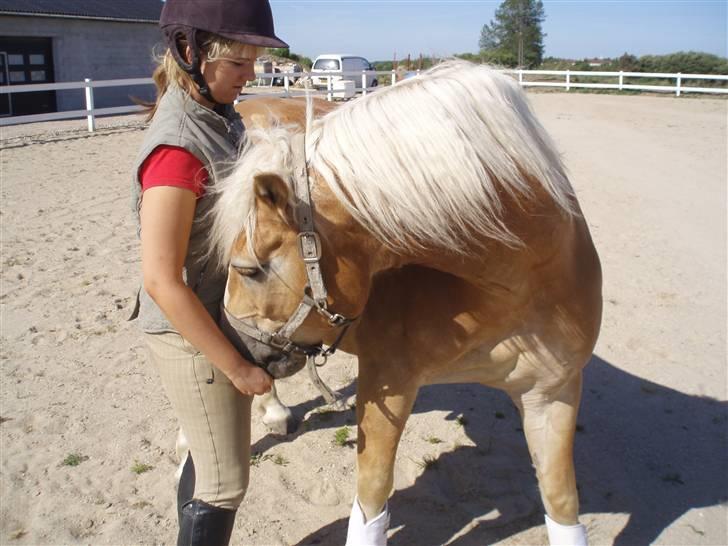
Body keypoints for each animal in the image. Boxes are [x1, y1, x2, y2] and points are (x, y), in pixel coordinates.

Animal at [208, 61, 600, 540]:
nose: (238, 348)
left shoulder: (553, 394)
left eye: (249, 269)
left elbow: (562, 504)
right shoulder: (387, 382)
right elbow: (372, 498)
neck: (516, 282)